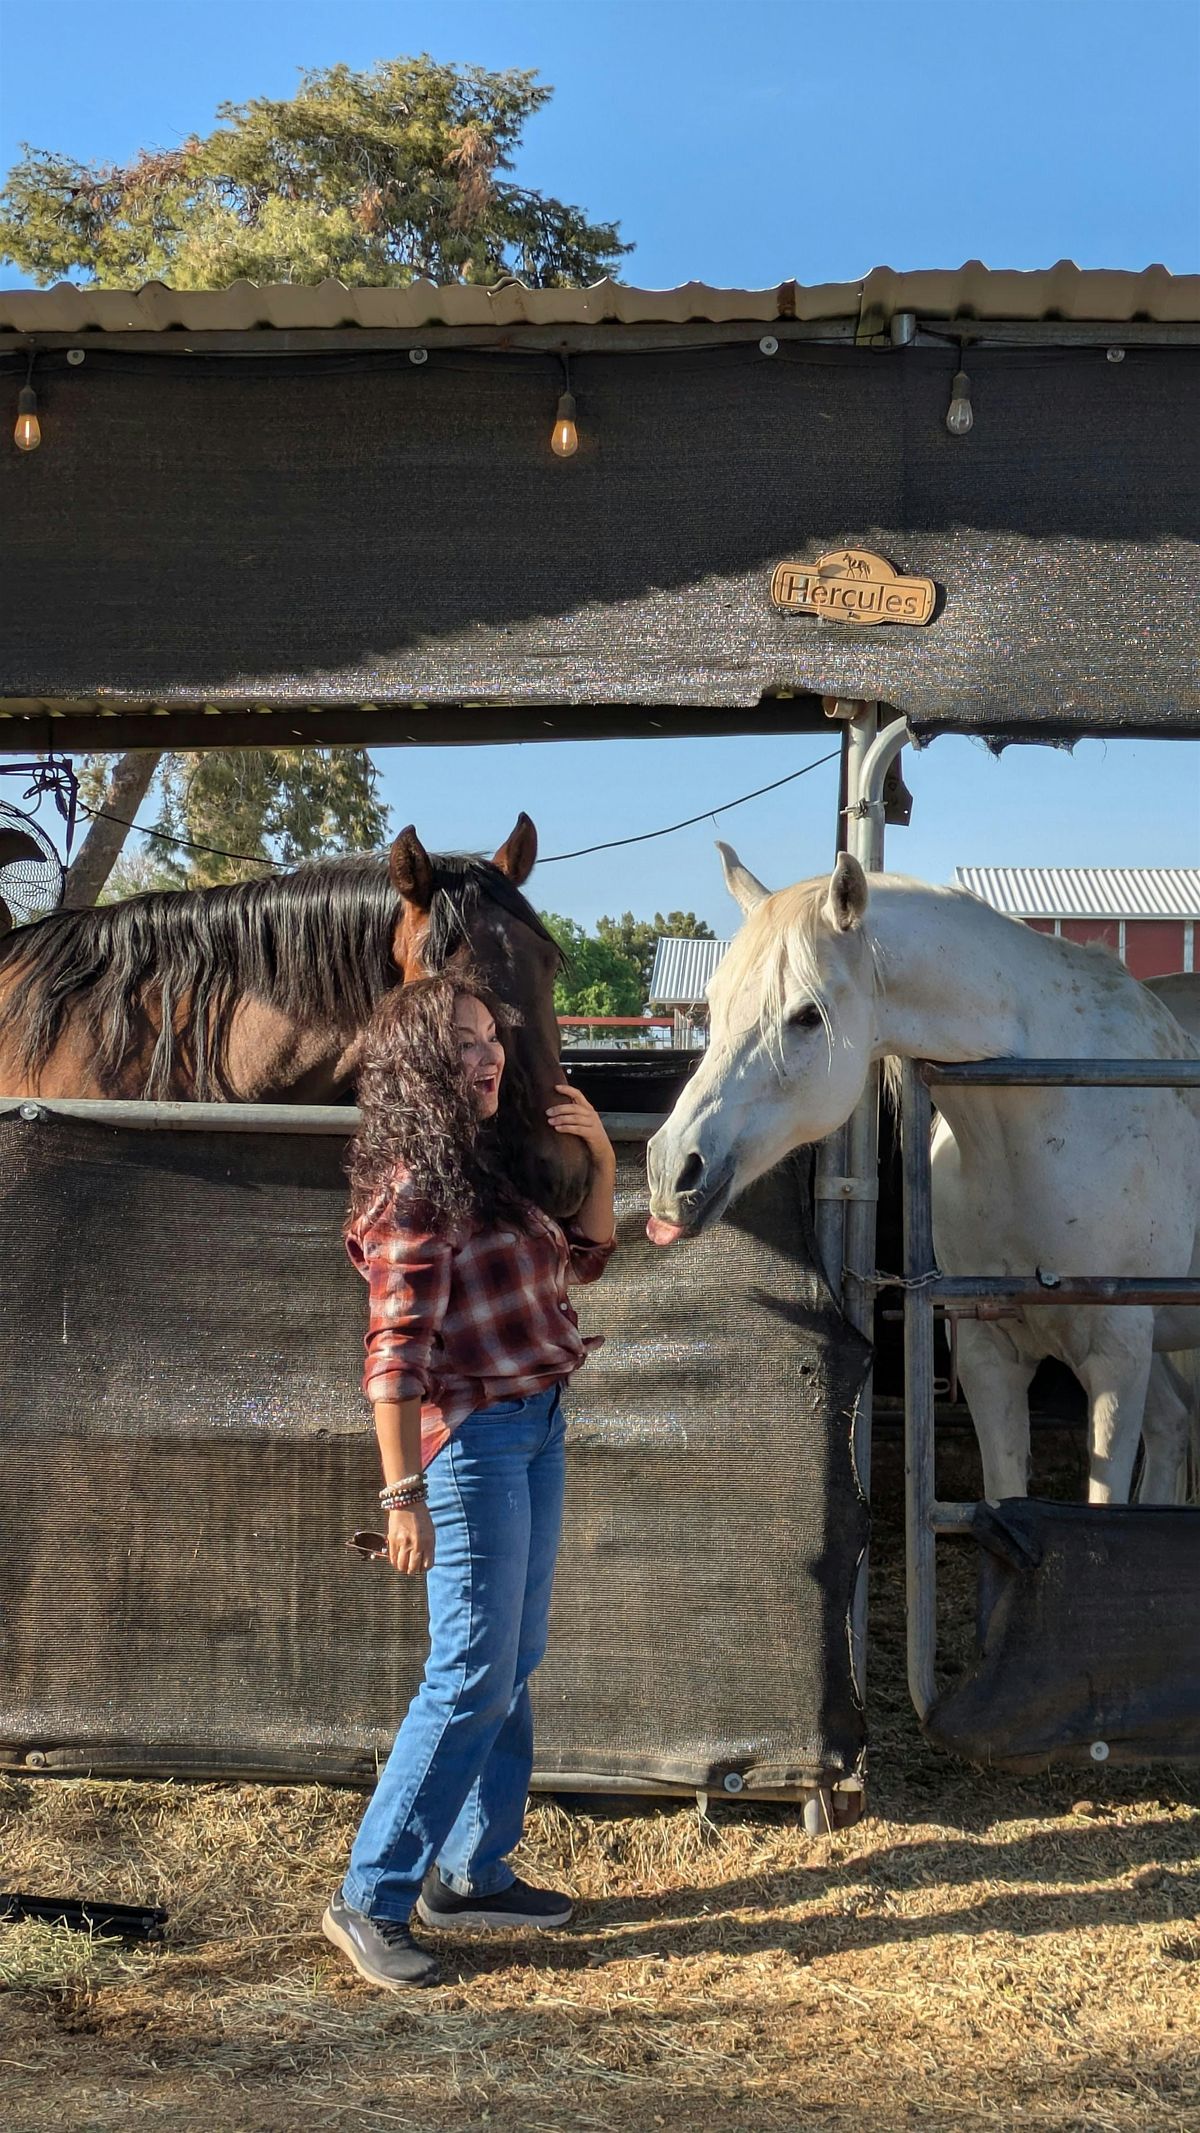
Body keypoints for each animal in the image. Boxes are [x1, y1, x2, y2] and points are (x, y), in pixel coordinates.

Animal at [646, 848, 1200, 1506]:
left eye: (806, 1016)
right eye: (716, 999)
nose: (671, 1168)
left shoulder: (1117, 1357)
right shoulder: (989, 1357)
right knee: (1171, 1429)